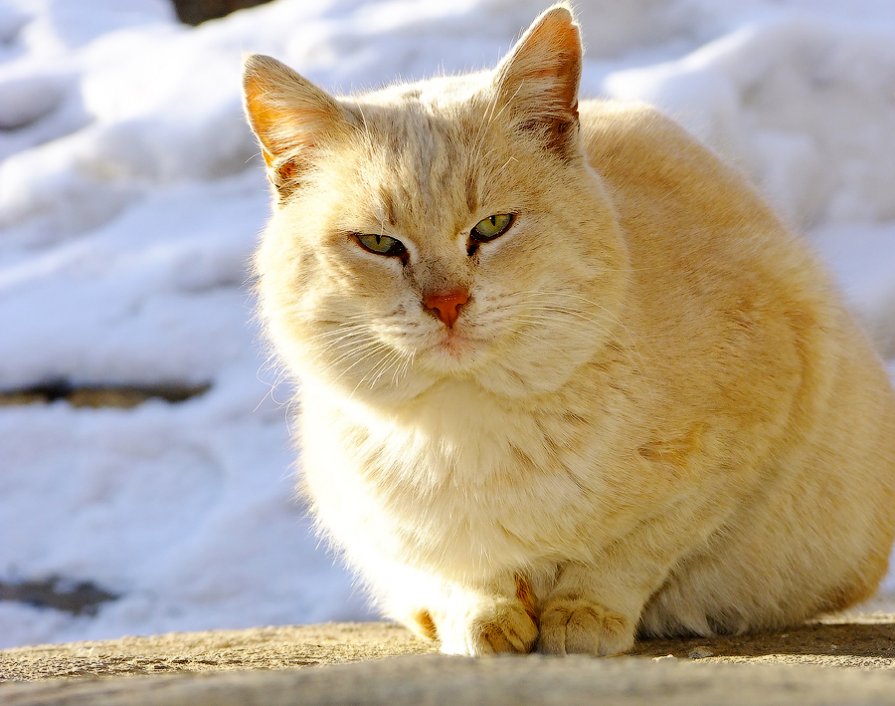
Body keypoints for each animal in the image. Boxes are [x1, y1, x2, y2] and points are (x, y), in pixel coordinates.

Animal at [242, 4, 895, 656]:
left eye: (493, 226)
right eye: (379, 243)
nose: (447, 304)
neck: (469, 433)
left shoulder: (745, 440)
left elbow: (629, 553)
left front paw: (582, 617)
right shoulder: (393, 525)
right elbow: (464, 572)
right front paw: (485, 620)